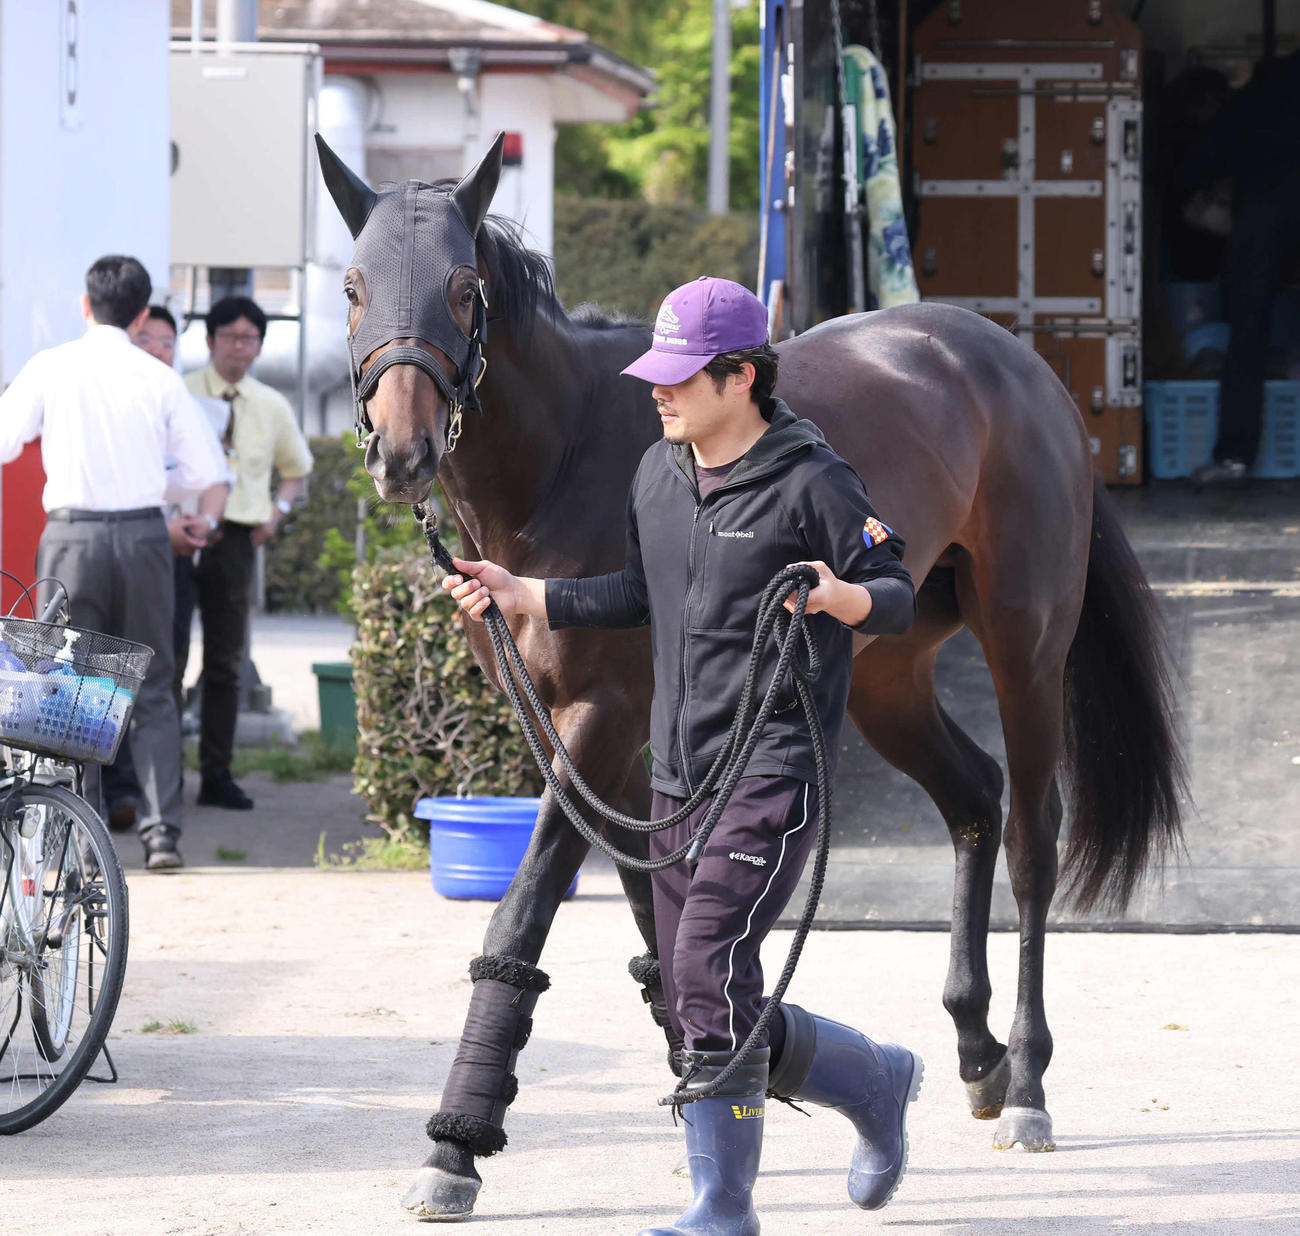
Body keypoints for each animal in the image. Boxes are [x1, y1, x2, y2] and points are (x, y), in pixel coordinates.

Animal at [316, 133, 1185, 1220]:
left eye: (464, 288)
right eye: (352, 286)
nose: (400, 451)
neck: (568, 454)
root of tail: (1016, 364)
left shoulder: (602, 718)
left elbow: (530, 913)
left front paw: (455, 1149)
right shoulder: (605, 736)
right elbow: (654, 910)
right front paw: (731, 1060)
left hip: (1025, 646)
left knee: (1031, 834)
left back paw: (1024, 1081)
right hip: (883, 676)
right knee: (972, 798)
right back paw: (975, 1051)